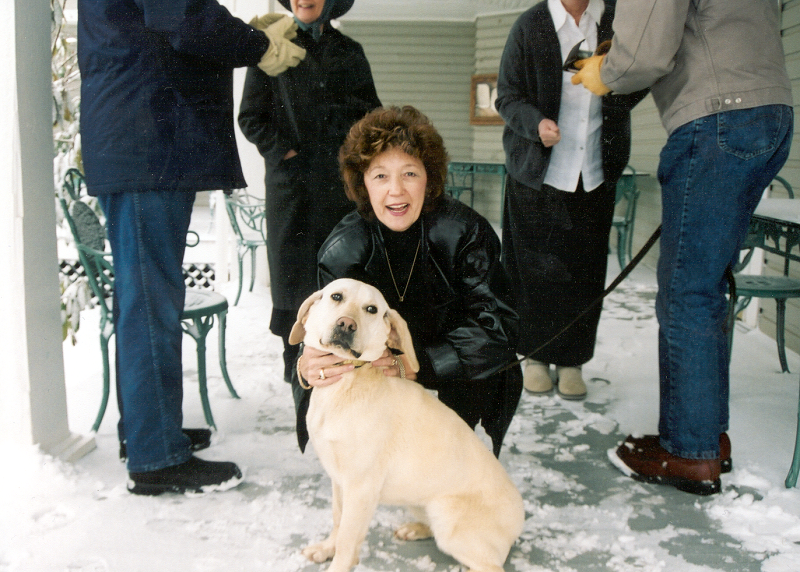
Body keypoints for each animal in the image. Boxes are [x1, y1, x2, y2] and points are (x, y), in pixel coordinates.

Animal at [288, 278, 524, 572]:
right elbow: (337, 520)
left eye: (372, 309)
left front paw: (338, 562)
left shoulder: (360, 487)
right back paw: (414, 529)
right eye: (336, 296)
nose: (346, 324)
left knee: (490, 565)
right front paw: (325, 549)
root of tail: (520, 519)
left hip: (448, 521)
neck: (345, 386)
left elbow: (347, 539)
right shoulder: (339, 480)